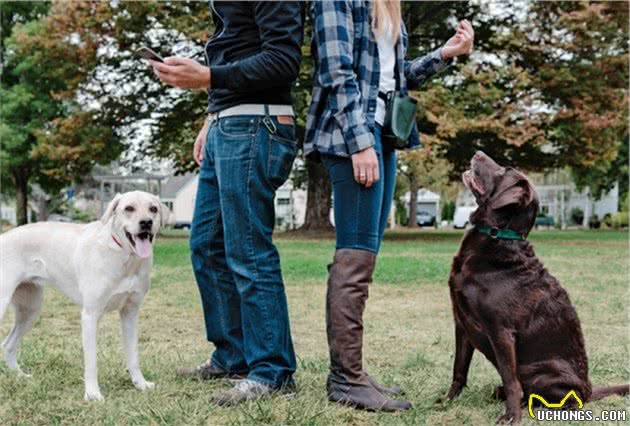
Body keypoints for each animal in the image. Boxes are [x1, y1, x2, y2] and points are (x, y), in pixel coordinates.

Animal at [0, 191, 168, 402]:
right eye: (129, 208)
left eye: (153, 208)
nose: (146, 222)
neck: (125, 257)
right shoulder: (90, 315)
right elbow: (91, 361)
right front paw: (92, 393)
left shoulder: (130, 313)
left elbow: (133, 355)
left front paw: (140, 384)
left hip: (30, 311)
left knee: (8, 344)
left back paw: (19, 375)